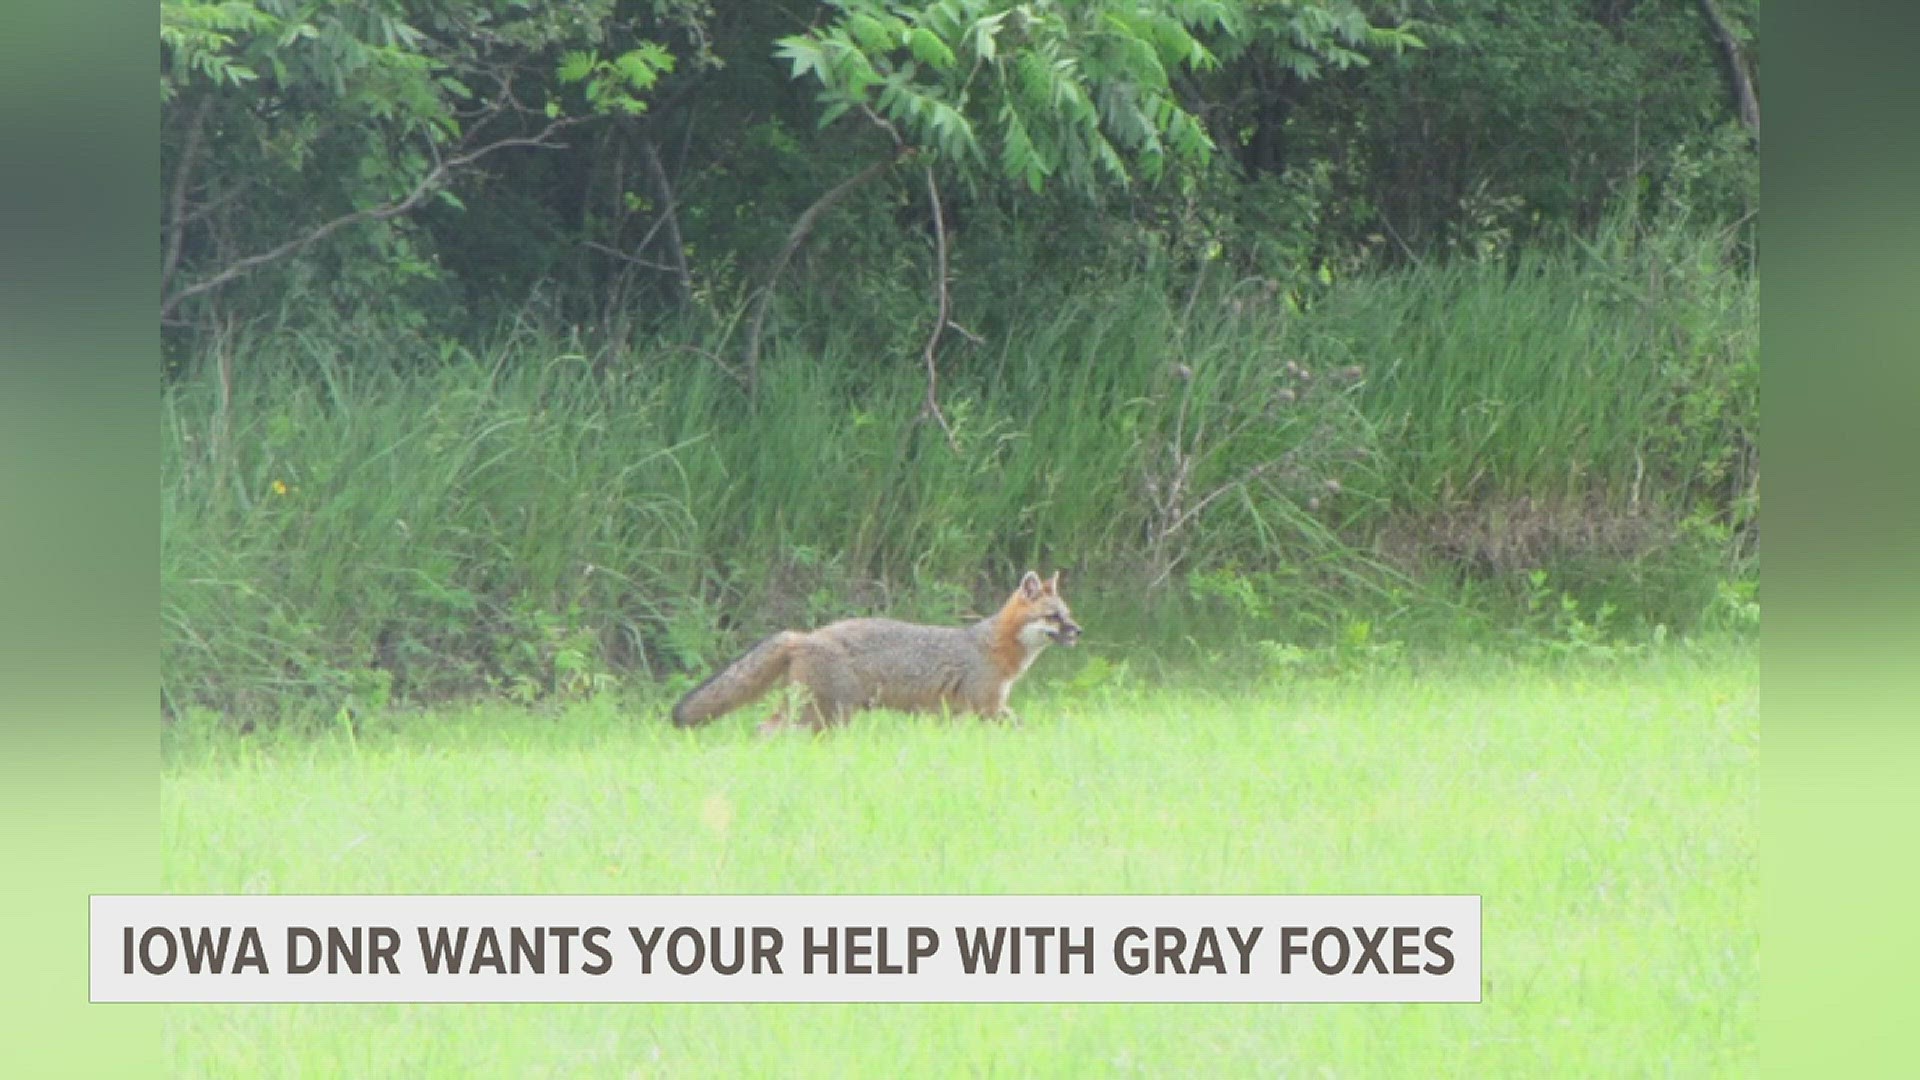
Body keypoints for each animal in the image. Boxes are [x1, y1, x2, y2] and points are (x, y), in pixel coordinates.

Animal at [672, 568, 1082, 726]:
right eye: (1054, 617)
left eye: (1068, 614)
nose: (1079, 631)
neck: (992, 645)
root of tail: (803, 635)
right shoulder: (989, 706)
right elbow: (1023, 727)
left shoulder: (954, 714)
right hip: (827, 714)